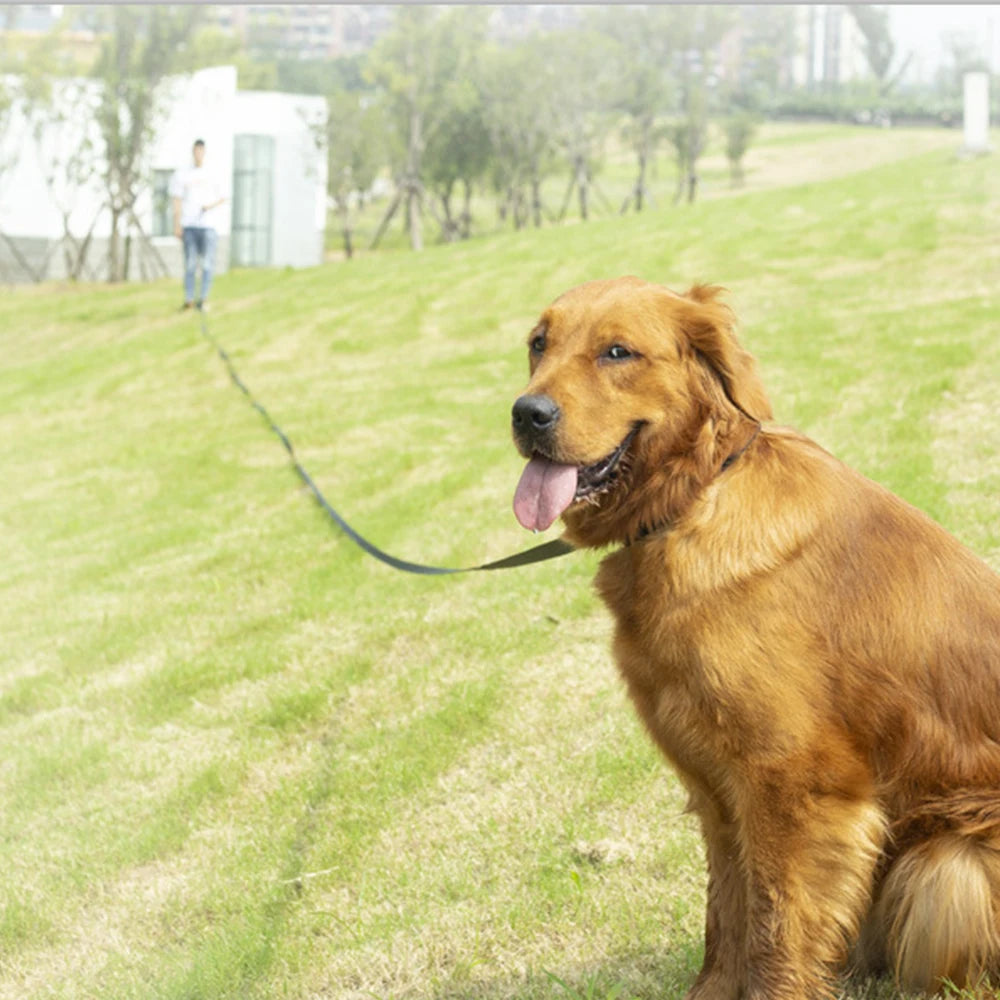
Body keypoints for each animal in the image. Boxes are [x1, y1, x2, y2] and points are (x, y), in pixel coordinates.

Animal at [512, 274, 1000, 1000]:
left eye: (617, 351)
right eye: (538, 344)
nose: (527, 414)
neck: (693, 500)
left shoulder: (794, 786)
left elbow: (775, 926)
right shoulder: (717, 788)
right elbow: (728, 914)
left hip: (947, 867)